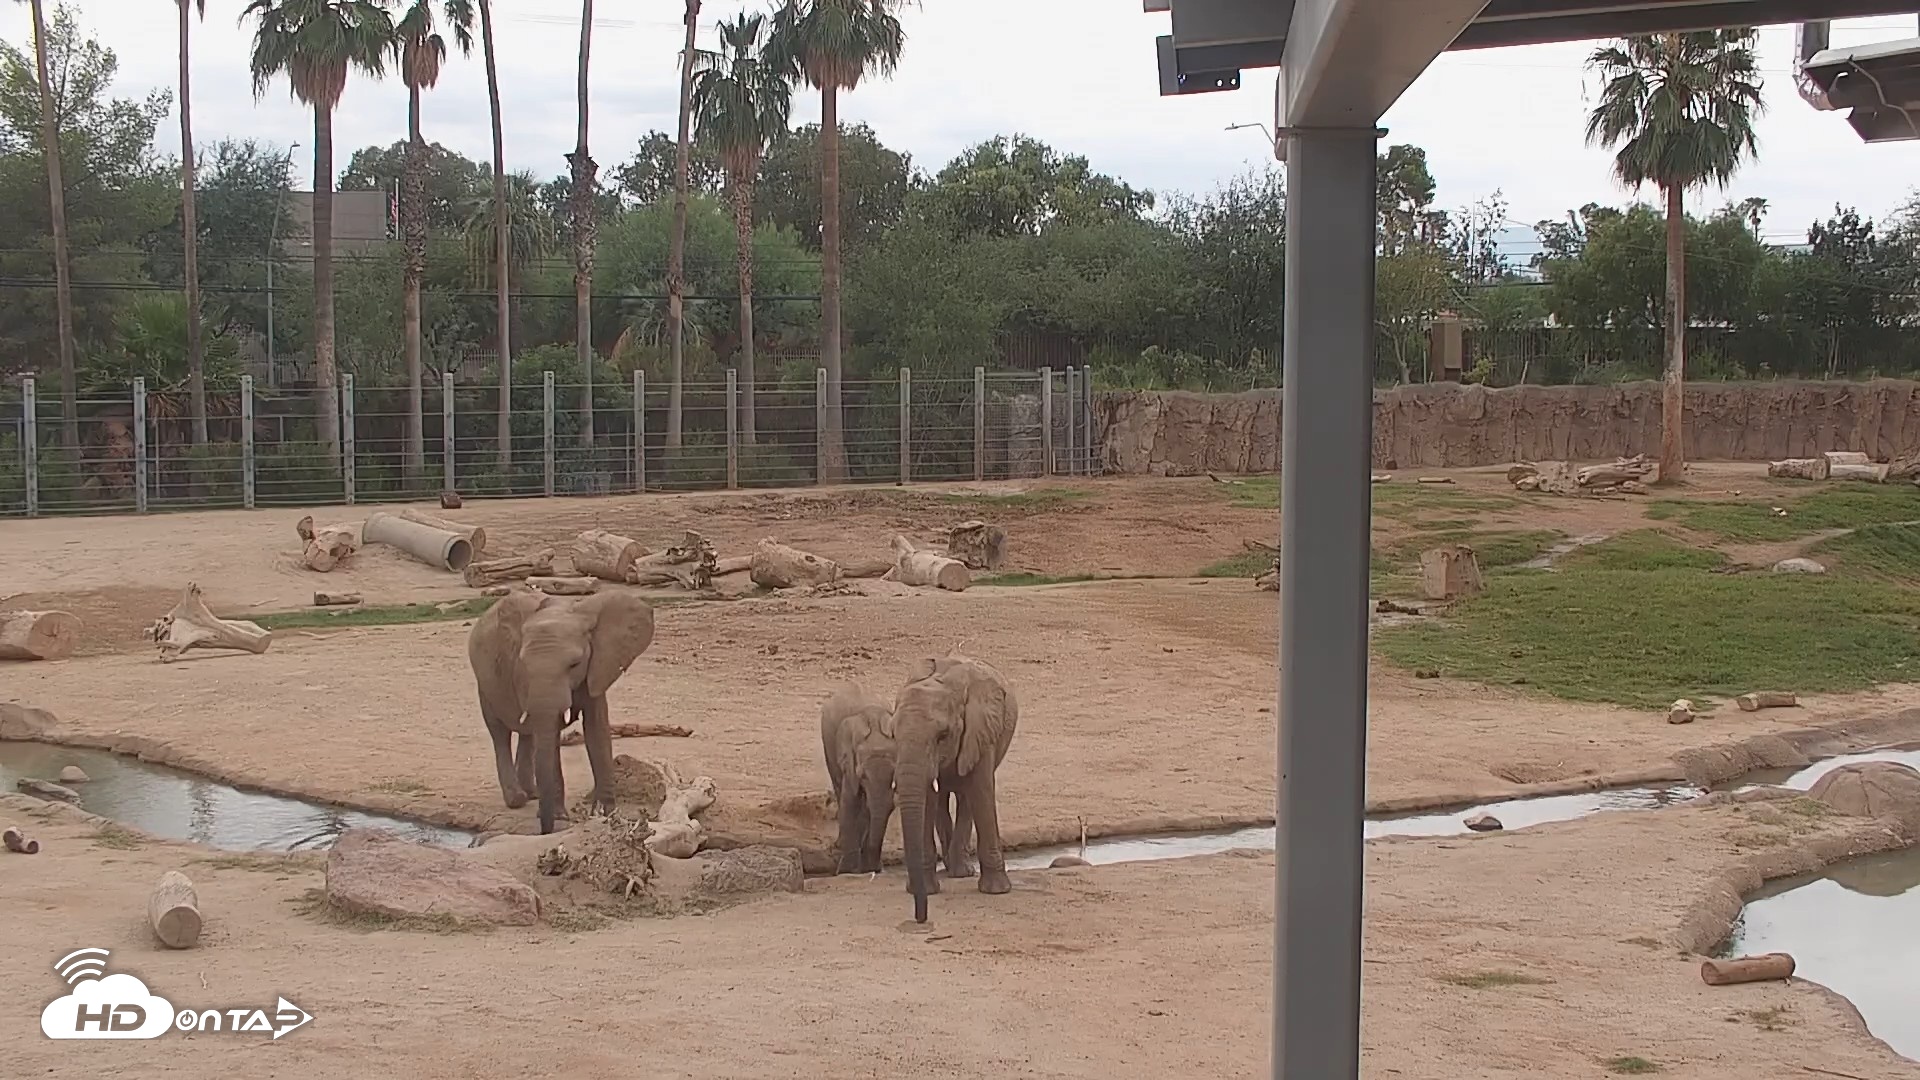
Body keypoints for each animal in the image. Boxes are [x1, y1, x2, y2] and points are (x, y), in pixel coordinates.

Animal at [467, 589, 656, 833]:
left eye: (575, 664)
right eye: (523, 664)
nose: (544, 830)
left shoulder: (598, 665)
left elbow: (597, 728)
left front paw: (608, 815)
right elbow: (553, 733)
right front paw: (560, 817)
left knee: (527, 734)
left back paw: (532, 794)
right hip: (485, 682)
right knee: (500, 733)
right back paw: (517, 799)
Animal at [819, 683, 897, 874]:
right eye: (862, 775)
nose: (877, 869)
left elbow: (872, 807)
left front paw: (868, 868)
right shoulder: (849, 760)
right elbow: (850, 803)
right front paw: (846, 871)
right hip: (828, 744)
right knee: (838, 786)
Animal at [893, 655, 1019, 923]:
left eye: (943, 735)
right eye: (892, 733)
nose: (921, 918)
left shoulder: (981, 732)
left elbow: (981, 793)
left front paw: (996, 891)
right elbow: (928, 800)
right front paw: (927, 889)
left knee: (967, 798)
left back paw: (960, 871)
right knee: (942, 801)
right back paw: (952, 868)